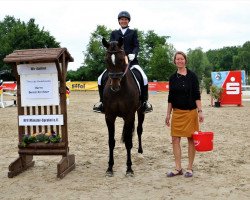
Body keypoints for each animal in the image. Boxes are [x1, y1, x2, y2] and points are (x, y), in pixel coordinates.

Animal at [101, 37, 145, 177]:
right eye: (107, 60)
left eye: (121, 59)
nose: (115, 86)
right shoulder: (109, 116)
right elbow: (111, 142)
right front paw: (109, 168)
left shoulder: (129, 115)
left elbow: (129, 142)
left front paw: (129, 169)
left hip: (140, 111)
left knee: (139, 130)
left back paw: (140, 153)